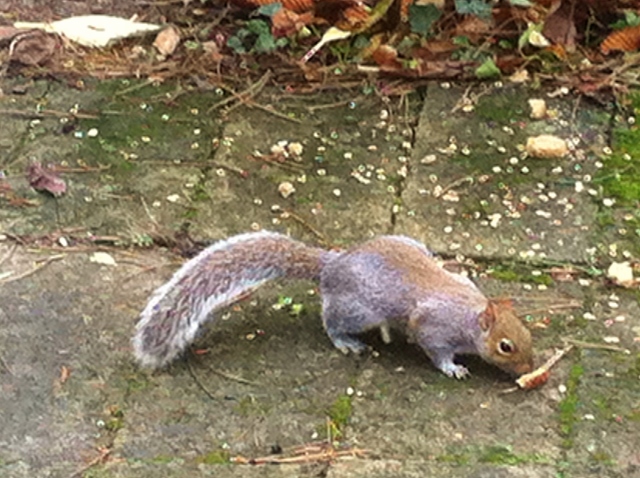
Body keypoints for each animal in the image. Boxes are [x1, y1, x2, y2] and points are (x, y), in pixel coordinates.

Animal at [133, 231, 534, 379]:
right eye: (505, 346)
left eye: (527, 333)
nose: (529, 369)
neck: (470, 313)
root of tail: (333, 265)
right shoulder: (435, 326)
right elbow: (434, 349)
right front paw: (453, 368)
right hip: (358, 310)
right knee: (331, 321)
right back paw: (347, 341)